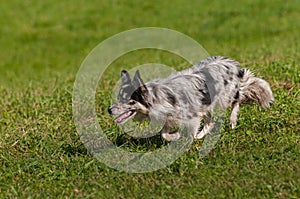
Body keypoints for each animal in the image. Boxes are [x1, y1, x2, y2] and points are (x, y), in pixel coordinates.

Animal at [108, 55, 274, 141]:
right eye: (119, 98)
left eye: (130, 101)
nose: (109, 110)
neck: (158, 97)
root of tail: (231, 62)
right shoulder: (169, 118)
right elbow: (164, 134)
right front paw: (175, 136)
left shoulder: (192, 117)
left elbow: (190, 133)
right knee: (210, 121)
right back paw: (203, 134)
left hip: (224, 97)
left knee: (237, 100)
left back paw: (232, 121)